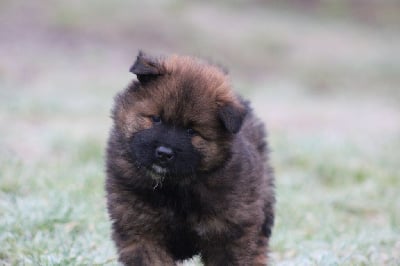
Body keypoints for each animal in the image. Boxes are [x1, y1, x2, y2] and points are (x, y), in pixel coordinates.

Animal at [105, 51, 276, 264]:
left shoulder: (228, 235)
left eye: (191, 131)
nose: (164, 153)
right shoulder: (141, 231)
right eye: (156, 119)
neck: (174, 188)